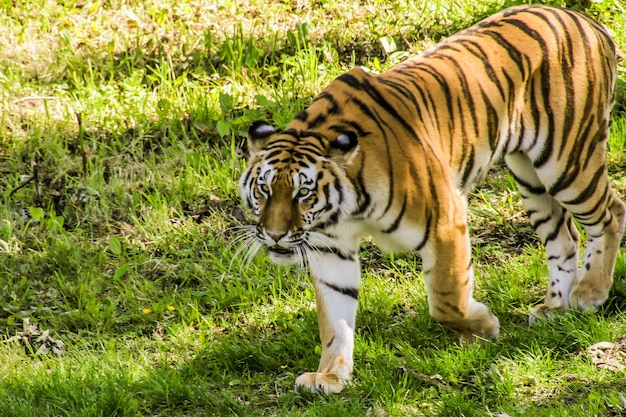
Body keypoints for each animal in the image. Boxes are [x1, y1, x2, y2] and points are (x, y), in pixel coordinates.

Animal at [236, 5, 620, 394]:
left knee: (611, 213)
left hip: (567, 162)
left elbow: (446, 300)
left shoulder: (445, 221)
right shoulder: (330, 248)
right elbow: (334, 319)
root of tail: (585, 20)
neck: (346, 209)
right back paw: (555, 308)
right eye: (264, 189)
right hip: (530, 177)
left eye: (303, 192)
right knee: (564, 236)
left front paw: (483, 327)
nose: (275, 235)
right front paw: (330, 375)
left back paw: (589, 292)